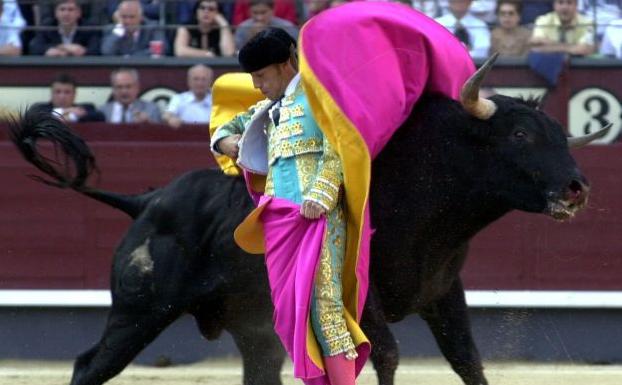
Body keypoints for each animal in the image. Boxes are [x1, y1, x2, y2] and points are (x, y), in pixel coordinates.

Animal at [6, 56, 608, 384]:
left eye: (561, 137)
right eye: (521, 134)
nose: (576, 188)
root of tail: (148, 200)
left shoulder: (443, 290)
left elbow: (468, 362)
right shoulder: (359, 294)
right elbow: (384, 355)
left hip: (248, 326)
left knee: (260, 369)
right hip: (139, 311)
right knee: (90, 365)